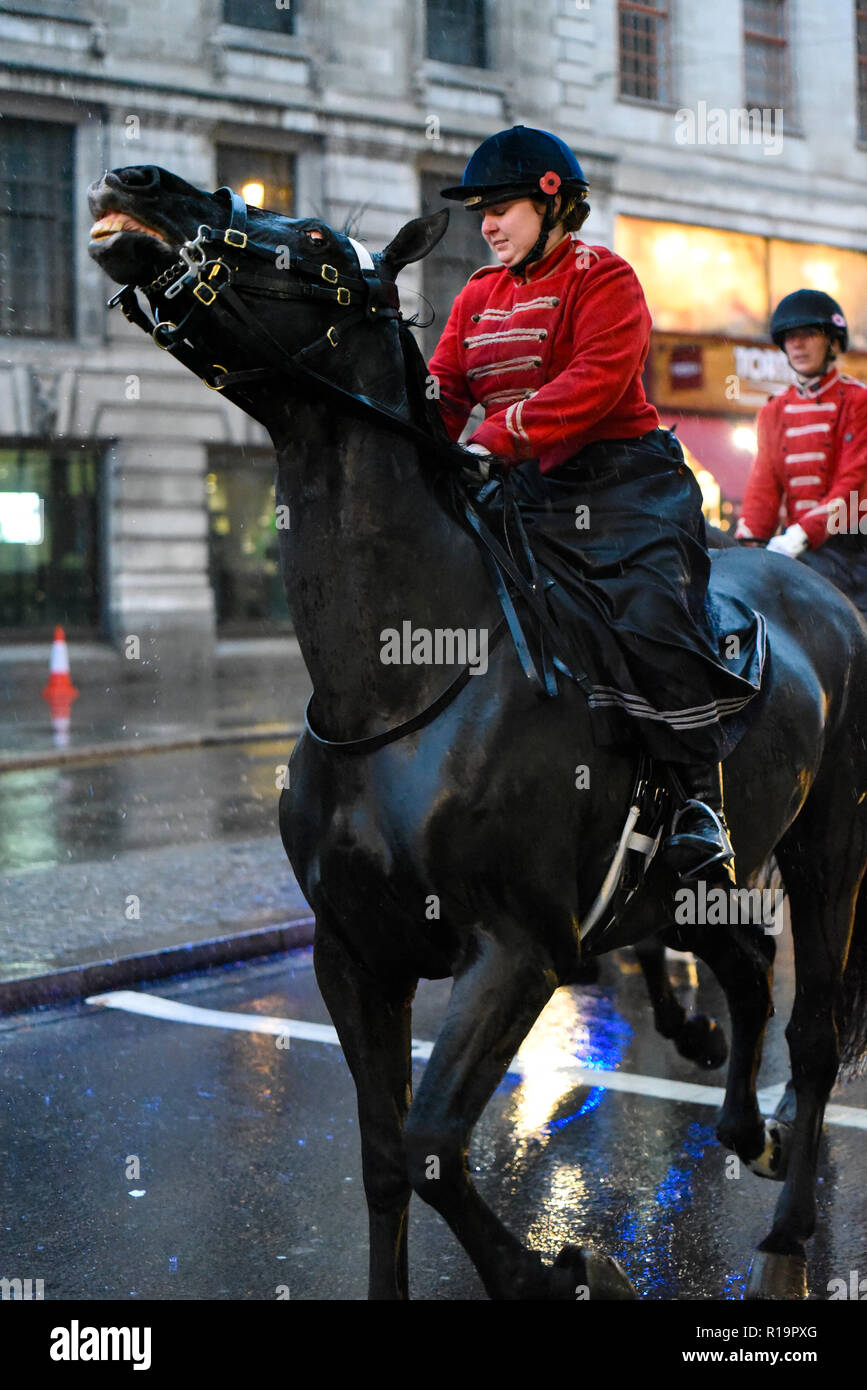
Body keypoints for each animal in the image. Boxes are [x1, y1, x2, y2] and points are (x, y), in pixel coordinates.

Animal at [86, 165, 867, 1301]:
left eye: (315, 243)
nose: (135, 180)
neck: (398, 683)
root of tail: (819, 589)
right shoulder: (352, 953)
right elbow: (383, 1159)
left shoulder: (517, 950)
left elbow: (431, 1146)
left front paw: (562, 1273)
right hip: (694, 880)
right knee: (750, 968)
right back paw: (741, 1129)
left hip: (826, 850)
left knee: (812, 1030)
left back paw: (792, 1217)